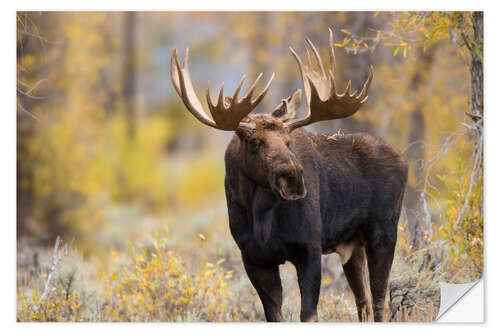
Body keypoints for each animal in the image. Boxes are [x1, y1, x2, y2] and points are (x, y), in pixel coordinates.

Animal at [170, 29, 408, 320]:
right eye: (254, 142)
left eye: (288, 141)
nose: (293, 180)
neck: (261, 216)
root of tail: (403, 159)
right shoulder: (254, 258)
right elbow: (274, 314)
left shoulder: (309, 249)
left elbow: (308, 314)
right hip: (353, 246)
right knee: (362, 301)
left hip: (384, 233)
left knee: (379, 300)